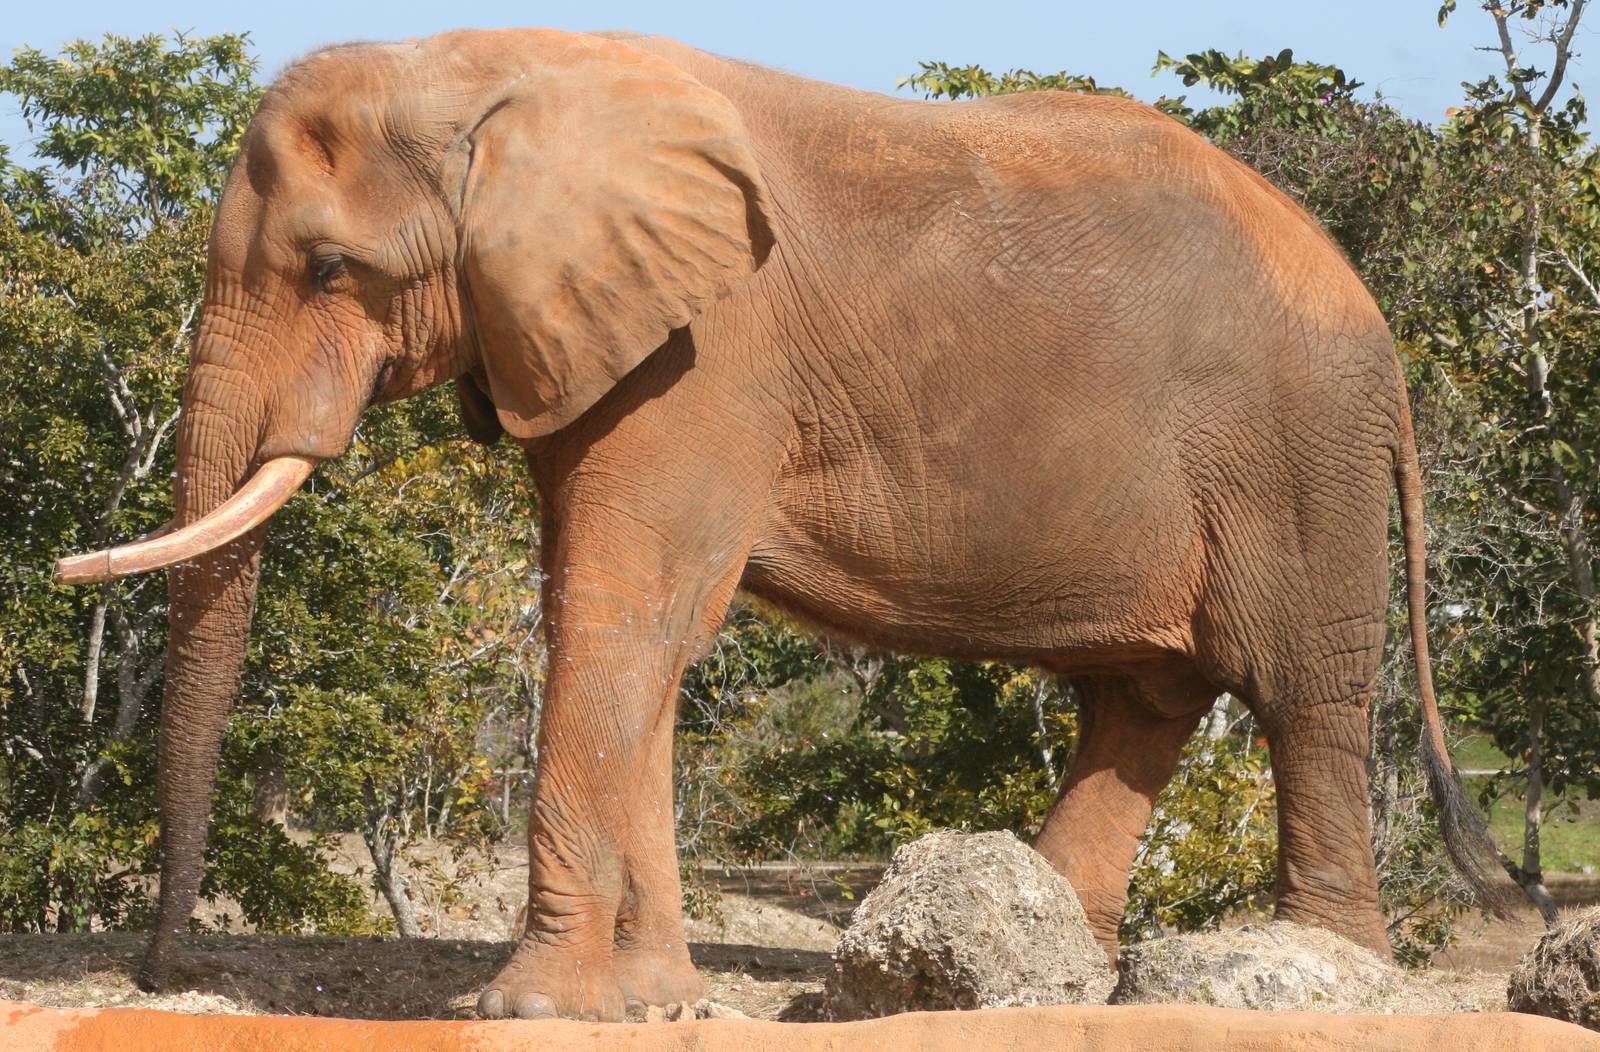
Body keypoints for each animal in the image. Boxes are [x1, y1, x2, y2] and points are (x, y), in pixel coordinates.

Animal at [56, 28, 1505, 1021]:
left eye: (327, 269)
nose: (166, 973)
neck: (487, 70)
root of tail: (1374, 318)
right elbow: (637, 619)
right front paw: (653, 1000)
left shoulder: (709, 355)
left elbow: (620, 608)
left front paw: (528, 1010)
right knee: (1146, 701)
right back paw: (1052, 969)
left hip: (1297, 455)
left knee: (1299, 695)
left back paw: (1325, 965)